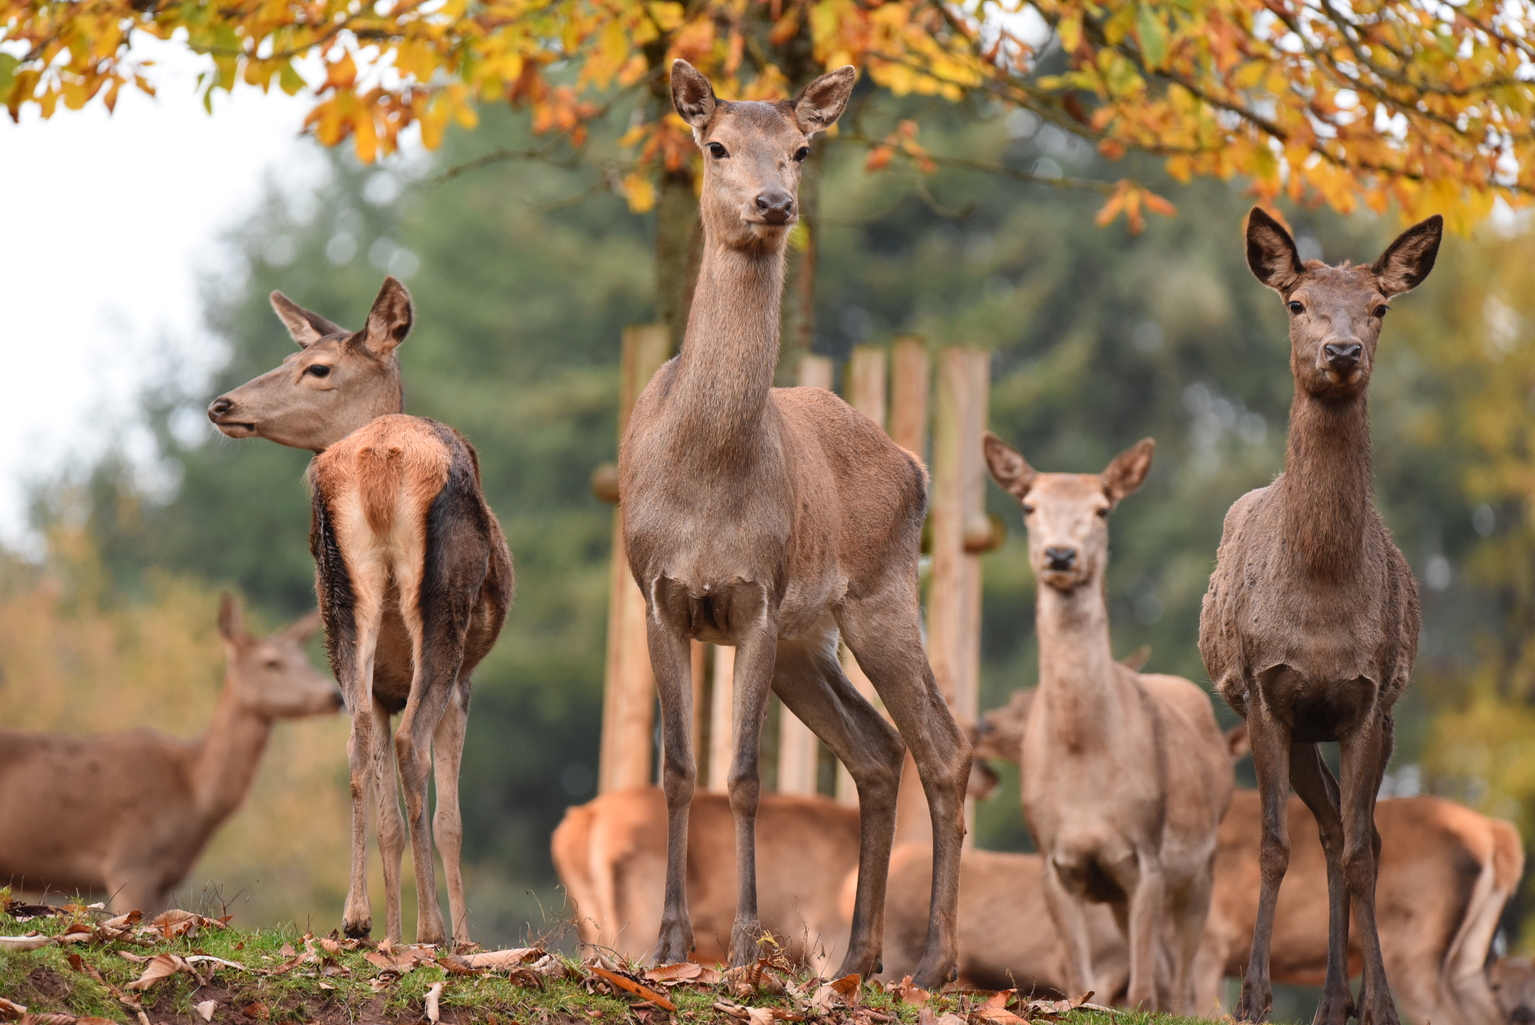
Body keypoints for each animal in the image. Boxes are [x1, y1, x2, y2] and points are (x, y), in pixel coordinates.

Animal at [0, 592, 339, 914]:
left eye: (305, 660)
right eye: (271, 662)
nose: (334, 694)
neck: (191, 793)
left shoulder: (165, 879)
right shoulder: (129, 860)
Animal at [204, 277, 518, 945]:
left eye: (315, 365)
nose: (221, 405)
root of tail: (380, 455)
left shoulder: (380, 685)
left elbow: (387, 815)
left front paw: (386, 930)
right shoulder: (466, 682)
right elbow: (451, 820)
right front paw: (461, 936)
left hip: (340, 600)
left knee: (354, 745)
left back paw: (356, 919)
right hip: (442, 608)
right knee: (408, 746)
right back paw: (432, 930)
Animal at [614, 60, 963, 988]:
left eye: (801, 149)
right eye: (716, 144)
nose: (773, 202)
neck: (706, 483)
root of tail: (914, 466)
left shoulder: (758, 598)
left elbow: (741, 775)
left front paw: (740, 946)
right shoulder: (657, 593)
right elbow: (677, 769)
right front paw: (665, 945)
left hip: (878, 593)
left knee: (942, 747)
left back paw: (932, 962)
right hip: (813, 640)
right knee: (876, 749)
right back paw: (858, 955)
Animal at [982, 435, 1234, 1018]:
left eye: (1102, 508)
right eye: (1029, 506)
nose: (1060, 556)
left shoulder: (1148, 851)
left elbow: (1141, 991)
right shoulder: (1054, 859)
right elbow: (1080, 980)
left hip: (1203, 860)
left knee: (1183, 978)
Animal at [1203, 208, 1442, 1025]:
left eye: (1379, 307)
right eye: (1296, 303)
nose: (1341, 352)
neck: (1318, 599)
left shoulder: (1367, 700)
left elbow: (1365, 853)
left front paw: (1383, 1004)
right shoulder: (1265, 693)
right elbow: (1274, 845)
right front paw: (1252, 997)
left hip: (1374, 719)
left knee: (1355, 832)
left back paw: (1347, 999)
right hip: (1298, 725)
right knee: (1329, 825)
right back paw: (1329, 998)